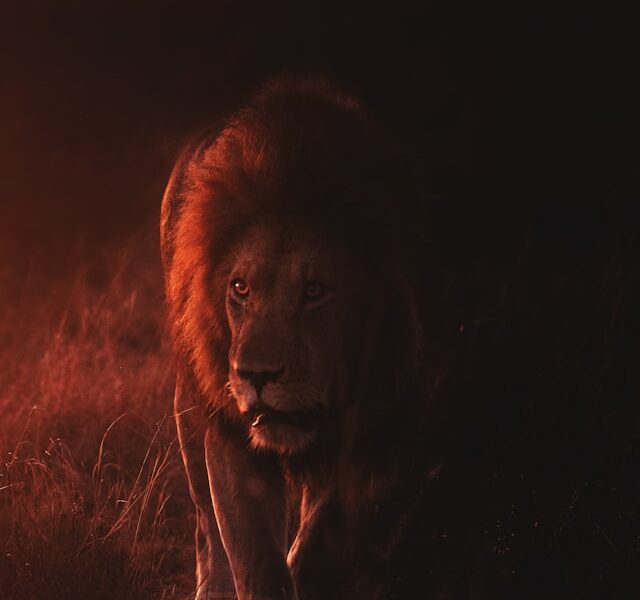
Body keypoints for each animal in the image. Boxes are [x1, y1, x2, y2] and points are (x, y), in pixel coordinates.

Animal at [160, 76, 428, 600]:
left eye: (314, 291)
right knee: (205, 526)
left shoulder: (373, 430)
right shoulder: (231, 432)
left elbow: (320, 535)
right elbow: (253, 555)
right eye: (240, 288)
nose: (255, 375)